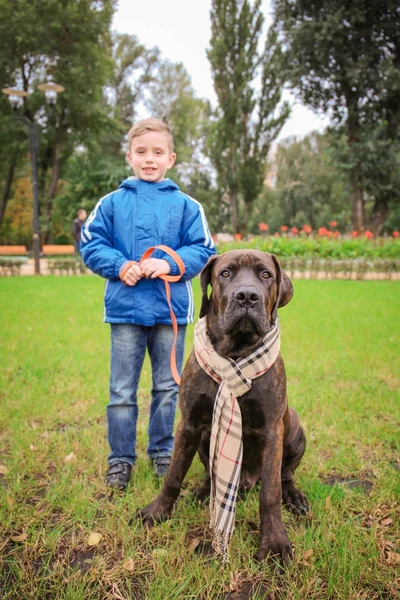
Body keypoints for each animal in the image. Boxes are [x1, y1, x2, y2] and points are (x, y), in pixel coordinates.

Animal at [136, 250, 308, 568]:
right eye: (225, 273)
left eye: (266, 274)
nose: (247, 296)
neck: (237, 354)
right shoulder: (189, 424)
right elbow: (173, 476)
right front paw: (156, 511)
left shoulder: (272, 429)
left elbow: (270, 493)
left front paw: (274, 542)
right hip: (207, 437)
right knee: (210, 473)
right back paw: (205, 492)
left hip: (294, 429)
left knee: (285, 474)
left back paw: (294, 495)